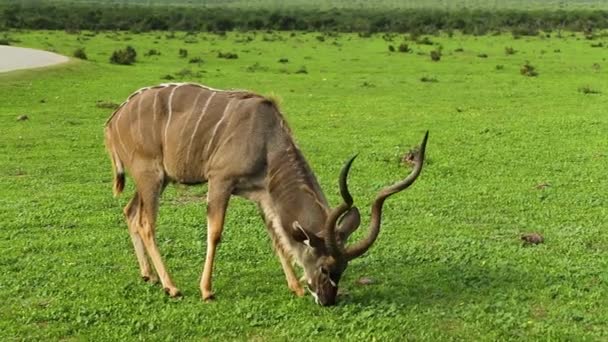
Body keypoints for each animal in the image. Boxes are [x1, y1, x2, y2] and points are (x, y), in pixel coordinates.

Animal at [104, 82, 428, 304]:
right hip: (151, 176)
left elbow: (277, 238)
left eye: (344, 268)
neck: (266, 140)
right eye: (325, 269)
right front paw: (206, 290)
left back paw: (148, 275)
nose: (327, 301)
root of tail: (113, 119)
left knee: (130, 212)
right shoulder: (220, 180)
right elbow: (215, 232)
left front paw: (295, 287)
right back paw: (171, 286)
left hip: (157, 180)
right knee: (147, 223)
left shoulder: (262, 195)